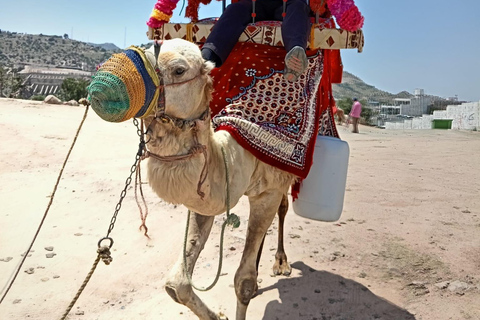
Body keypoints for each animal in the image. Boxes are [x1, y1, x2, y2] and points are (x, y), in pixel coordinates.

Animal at [142, 40, 296, 320]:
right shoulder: (205, 198)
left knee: (282, 208)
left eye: (179, 70)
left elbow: (243, 282)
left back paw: (280, 263)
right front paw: (218, 315)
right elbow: (177, 285)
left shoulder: (269, 188)